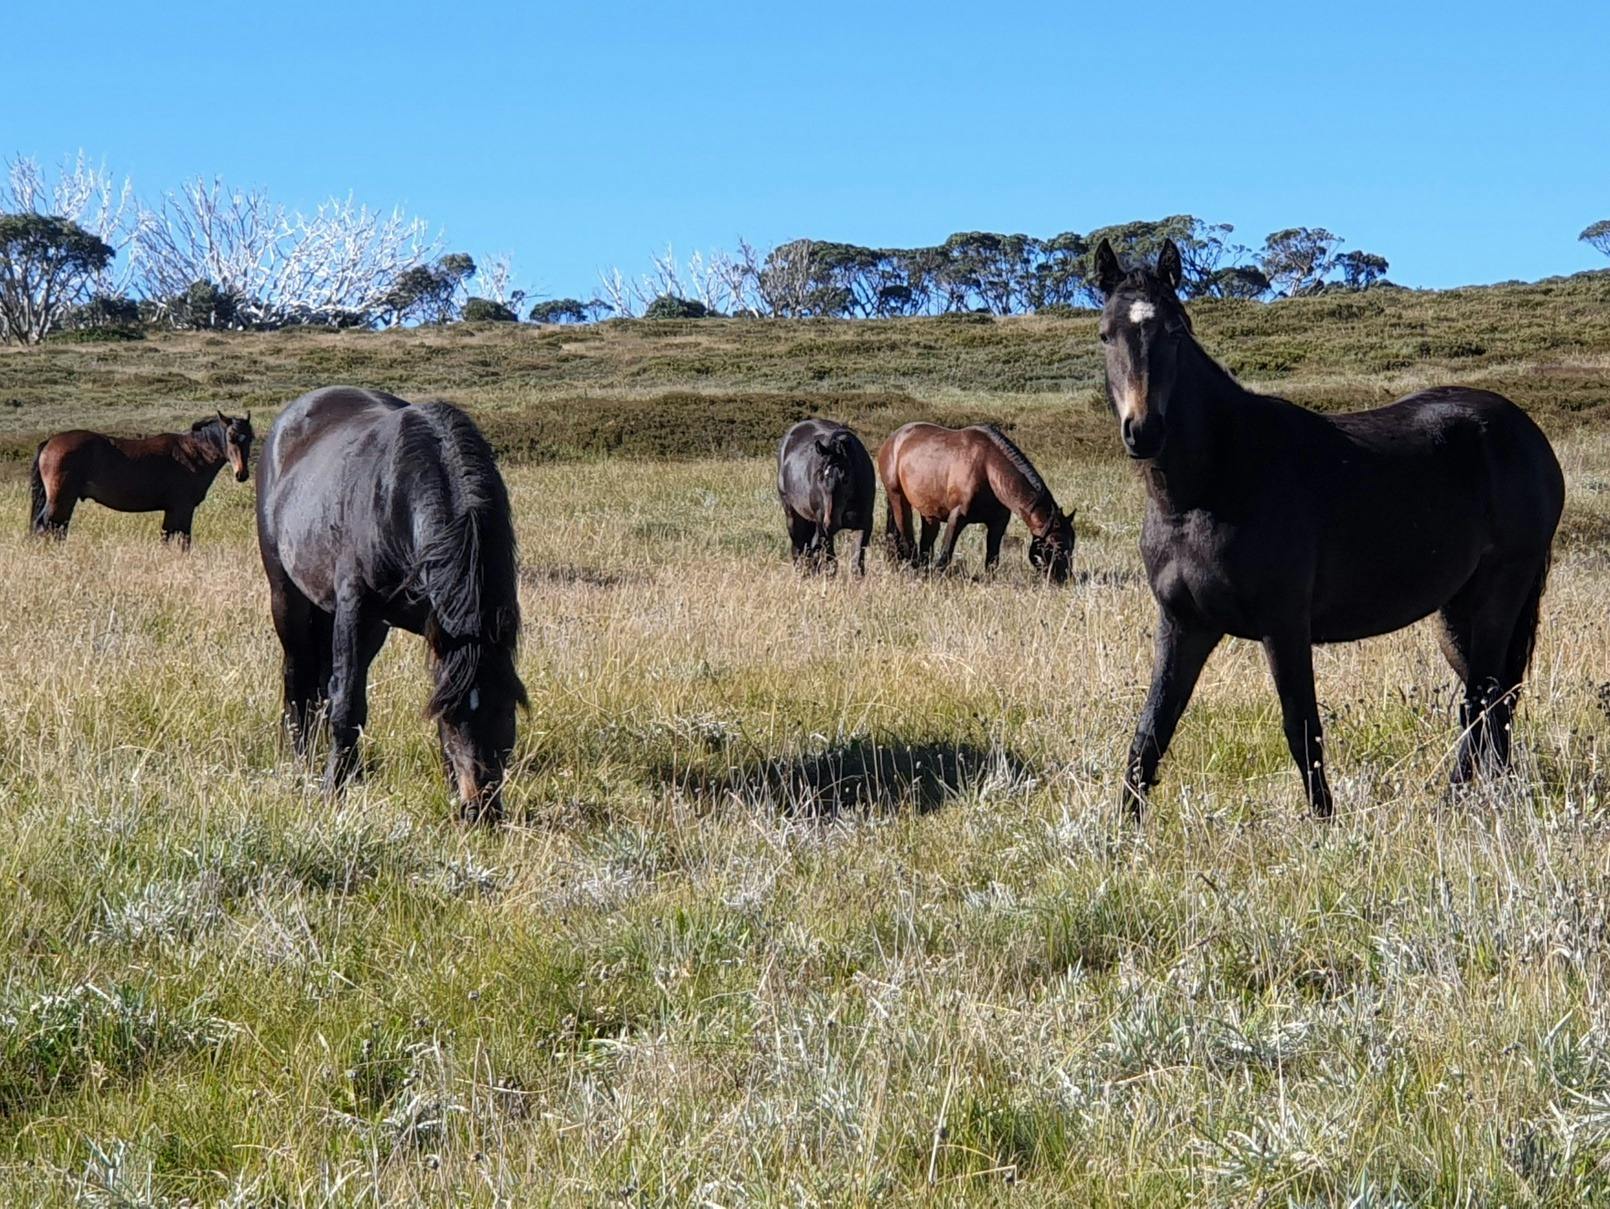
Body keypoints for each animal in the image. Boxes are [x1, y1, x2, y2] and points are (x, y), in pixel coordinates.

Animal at [29, 411, 254, 547]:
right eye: (231, 437)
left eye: (250, 438)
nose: (242, 474)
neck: (192, 452)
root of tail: (50, 441)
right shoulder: (182, 508)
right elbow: (182, 540)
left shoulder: (172, 510)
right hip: (60, 499)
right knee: (46, 526)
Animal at [255, 386, 527, 823]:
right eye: (453, 715)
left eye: (506, 711)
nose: (480, 811)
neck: (397, 498)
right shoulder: (355, 607)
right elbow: (348, 704)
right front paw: (332, 793)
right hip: (288, 596)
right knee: (298, 677)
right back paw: (303, 760)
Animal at [776, 420, 876, 574]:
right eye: (820, 477)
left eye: (846, 479)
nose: (830, 522)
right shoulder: (823, 527)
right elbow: (831, 563)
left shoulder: (864, 525)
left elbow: (857, 565)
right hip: (793, 515)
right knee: (799, 549)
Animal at [877, 422, 1076, 582]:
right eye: (1057, 545)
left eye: (1073, 543)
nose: (1065, 578)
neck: (988, 468)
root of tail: (894, 439)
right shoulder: (957, 517)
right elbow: (945, 555)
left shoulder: (998, 523)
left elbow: (992, 560)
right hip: (898, 500)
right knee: (907, 540)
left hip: (929, 514)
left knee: (925, 546)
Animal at [1096, 237, 1565, 818]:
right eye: (1105, 334)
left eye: (1177, 331)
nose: (1144, 431)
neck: (1208, 489)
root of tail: (1527, 432)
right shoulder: (1184, 625)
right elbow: (1151, 734)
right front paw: (1123, 830)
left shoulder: (1283, 624)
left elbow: (1302, 729)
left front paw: (1325, 823)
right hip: (1458, 609)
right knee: (1494, 701)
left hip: (1502, 588)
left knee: (1483, 697)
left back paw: (1451, 802)